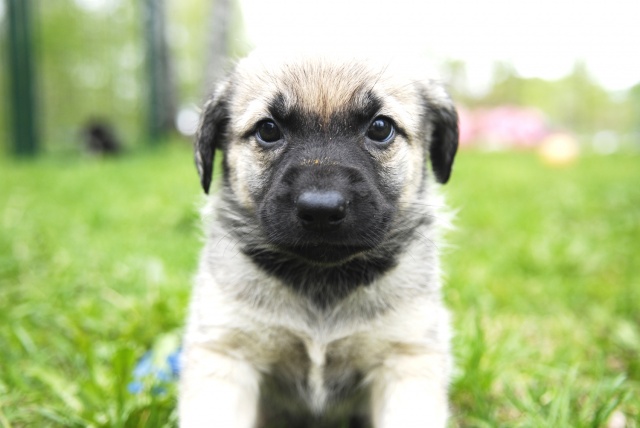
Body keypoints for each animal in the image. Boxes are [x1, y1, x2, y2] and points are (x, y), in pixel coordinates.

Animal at [179, 52, 459, 428]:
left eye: (380, 128)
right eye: (268, 130)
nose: (322, 209)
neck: (321, 279)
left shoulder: (406, 355)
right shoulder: (226, 350)